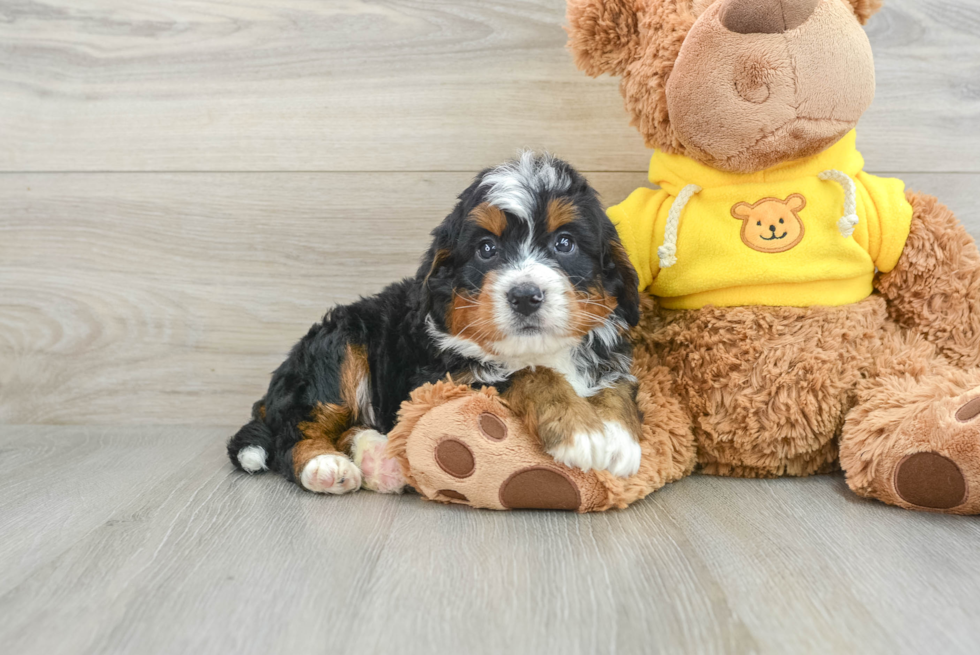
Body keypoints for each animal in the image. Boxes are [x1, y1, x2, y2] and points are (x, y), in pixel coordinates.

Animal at [228, 152, 644, 492]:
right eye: (486, 249)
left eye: (564, 243)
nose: (525, 295)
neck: (535, 349)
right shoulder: (441, 381)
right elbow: (528, 374)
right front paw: (580, 431)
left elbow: (617, 385)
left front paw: (620, 438)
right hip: (340, 345)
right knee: (295, 431)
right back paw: (325, 466)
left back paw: (378, 460)